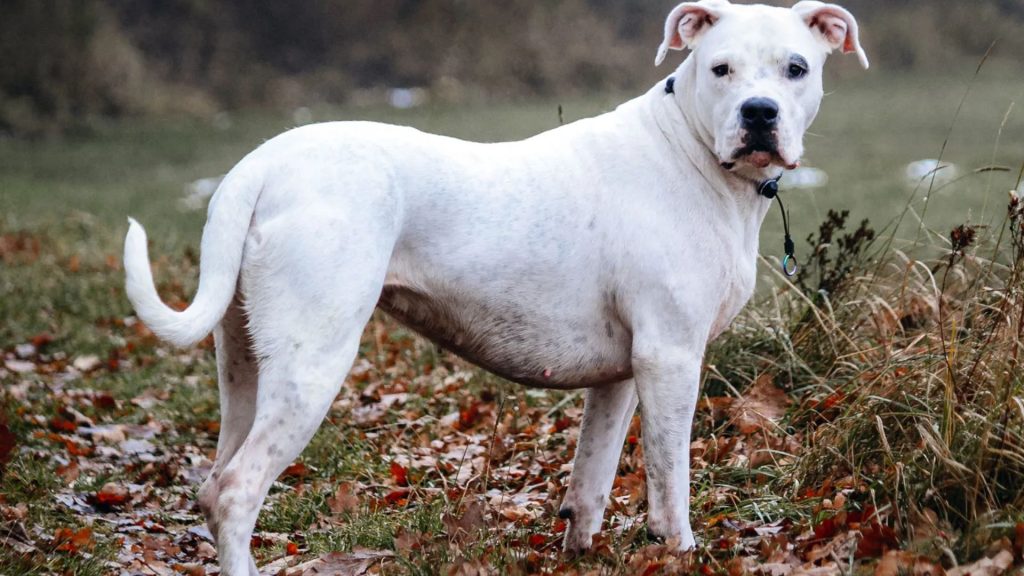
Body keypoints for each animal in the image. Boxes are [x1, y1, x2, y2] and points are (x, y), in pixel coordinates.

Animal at [123, 3, 868, 569]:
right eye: (721, 70)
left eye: (796, 69)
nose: (760, 113)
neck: (690, 149)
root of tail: (263, 162)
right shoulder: (672, 358)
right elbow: (668, 478)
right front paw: (678, 549)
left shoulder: (623, 374)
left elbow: (592, 480)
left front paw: (581, 550)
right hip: (313, 364)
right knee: (236, 492)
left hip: (245, 365)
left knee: (214, 482)